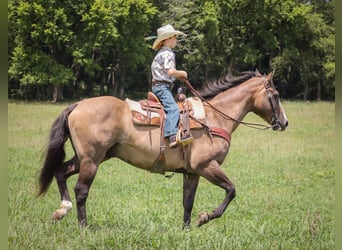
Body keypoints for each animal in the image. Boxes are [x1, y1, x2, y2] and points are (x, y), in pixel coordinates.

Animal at [37, 70, 288, 229]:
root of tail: (78, 105)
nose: (284, 123)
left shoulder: (192, 172)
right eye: (275, 96)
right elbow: (231, 190)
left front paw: (187, 229)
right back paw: (83, 226)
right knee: (81, 190)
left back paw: (62, 210)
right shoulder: (207, 166)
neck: (214, 118)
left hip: (89, 157)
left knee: (60, 172)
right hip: (91, 159)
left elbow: (188, 202)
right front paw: (205, 217)